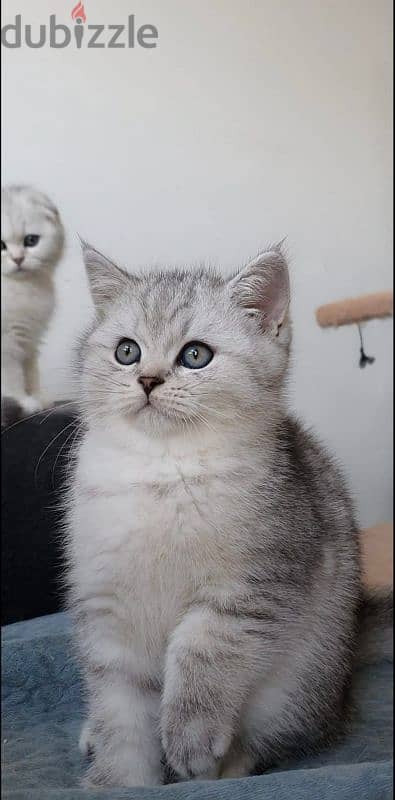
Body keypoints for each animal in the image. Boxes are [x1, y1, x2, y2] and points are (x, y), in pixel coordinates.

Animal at [0, 186, 64, 424]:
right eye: (1, 246)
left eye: (31, 241)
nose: (18, 259)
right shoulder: (6, 343)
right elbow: (11, 376)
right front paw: (23, 401)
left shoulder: (29, 339)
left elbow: (30, 372)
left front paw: (38, 397)